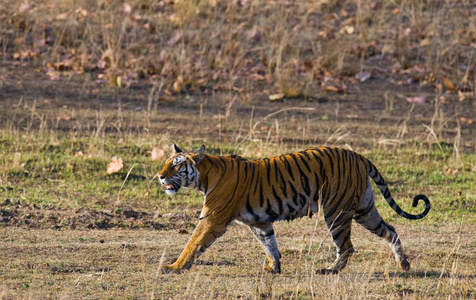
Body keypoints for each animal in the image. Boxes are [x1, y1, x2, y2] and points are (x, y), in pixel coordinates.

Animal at [157, 145, 432, 274]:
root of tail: (357, 155)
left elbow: (193, 244)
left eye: (176, 165)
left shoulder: (212, 218)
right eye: (165, 163)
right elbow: (270, 244)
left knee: (346, 246)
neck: (204, 175)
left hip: (337, 210)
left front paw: (174, 267)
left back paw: (330, 270)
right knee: (390, 230)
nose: (159, 176)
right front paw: (274, 268)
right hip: (365, 210)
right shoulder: (259, 222)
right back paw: (404, 264)